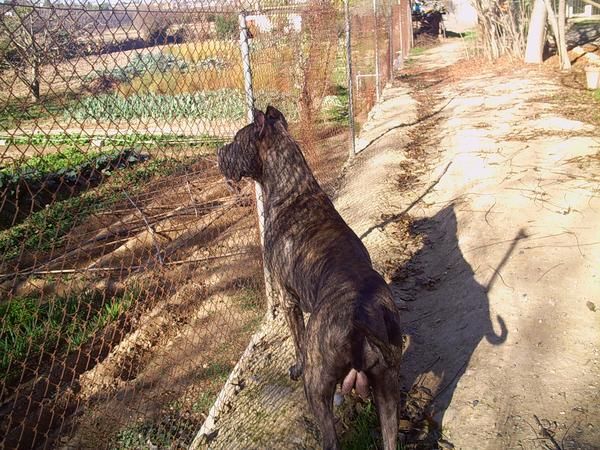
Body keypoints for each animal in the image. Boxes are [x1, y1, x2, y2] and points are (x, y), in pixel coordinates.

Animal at [217, 106, 404, 450]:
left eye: (236, 141)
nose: (219, 152)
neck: (293, 188)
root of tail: (357, 321)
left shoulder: (288, 298)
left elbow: (298, 340)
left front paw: (296, 364)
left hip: (317, 390)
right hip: (388, 389)